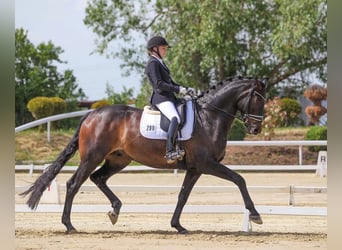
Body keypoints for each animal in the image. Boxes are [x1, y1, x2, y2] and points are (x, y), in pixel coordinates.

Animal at [22, 76, 268, 234]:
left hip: (118, 159)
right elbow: (239, 179)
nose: (256, 129)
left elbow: (183, 195)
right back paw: (69, 225)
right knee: (74, 184)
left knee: (98, 178)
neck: (208, 117)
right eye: (258, 98)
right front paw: (255, 214)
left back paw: (115, 210)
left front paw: (178, 226)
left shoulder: (195, 168)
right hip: (92, 158)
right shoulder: (206, 163)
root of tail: (92, 114)